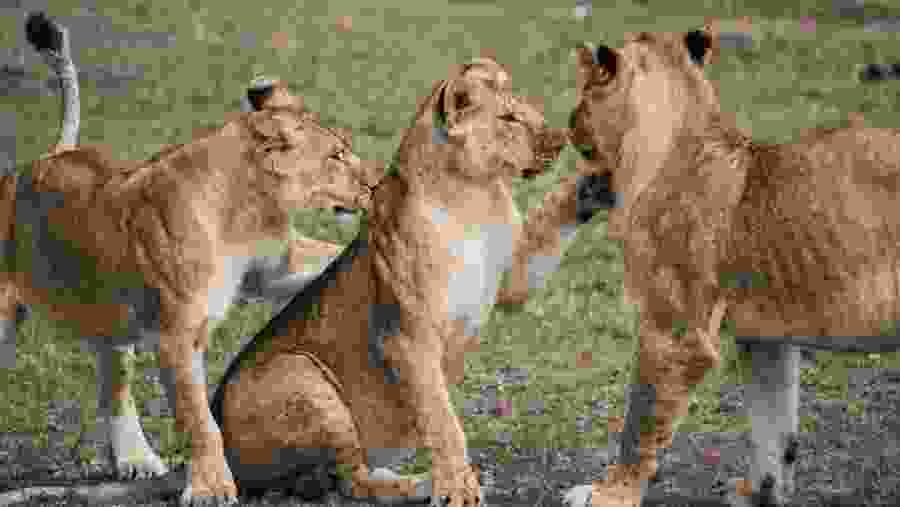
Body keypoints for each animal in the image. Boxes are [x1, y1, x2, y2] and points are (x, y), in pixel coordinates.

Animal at [0, 12, 376, 507]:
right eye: (336, 155)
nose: (373, 182)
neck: (245, 209)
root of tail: (44, 159)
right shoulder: (175, 335)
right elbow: (200, 421)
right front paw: (212, 487)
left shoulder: (275, 266)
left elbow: (329, 257)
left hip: (110, 316)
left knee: (114, 383)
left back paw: (136, 459)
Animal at [209, 57, 568, 507]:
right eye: (508, 118)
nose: (562, 140)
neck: (478, 196)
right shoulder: (408, 338)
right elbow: (442, 420)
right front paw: (458, 488)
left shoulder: (512, 279)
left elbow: (556, 221)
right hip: (299, 373)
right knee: (350, 482)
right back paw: (423, 483)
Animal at [562, 29, 900, 507]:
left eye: (585, 92)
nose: (568, 121)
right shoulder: (768, 339)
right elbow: (773, 432)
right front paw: (760, 495)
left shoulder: (674, 335)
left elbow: (639, 421)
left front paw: (610, 493)